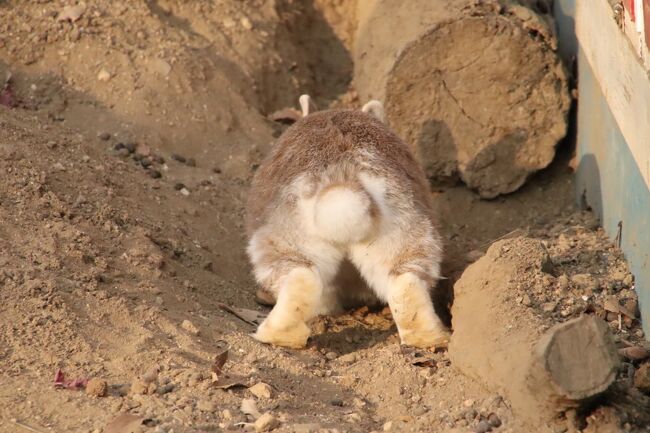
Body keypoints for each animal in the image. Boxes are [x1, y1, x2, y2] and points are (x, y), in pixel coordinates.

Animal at [246, 94, 448, 348]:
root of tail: (344, 184)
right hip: (406, 239)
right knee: (405, 281)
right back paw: (430, 338)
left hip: (284, 244)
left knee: (302, 279)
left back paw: (276, 335)